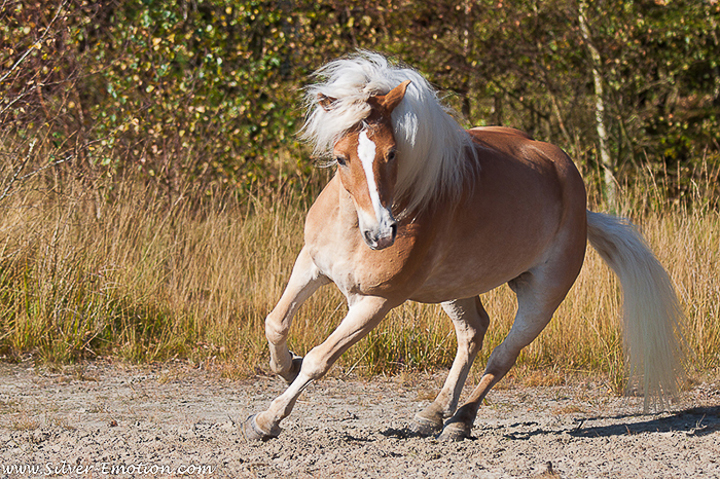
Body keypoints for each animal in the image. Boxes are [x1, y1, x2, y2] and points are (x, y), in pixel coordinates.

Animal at [240, 51, 680, 442]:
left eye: (392, 152)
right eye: (341, 158)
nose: (382, 234)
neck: (352, 228)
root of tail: (576, 196)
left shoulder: (376, 302)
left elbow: (320, 359)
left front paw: (267, 420)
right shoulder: (312, 264)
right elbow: (275, 323)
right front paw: (286, 366)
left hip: (543, 296)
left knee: (502, 354)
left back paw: (460, 420)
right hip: (454, 287)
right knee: (473, 332)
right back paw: (432, 414)